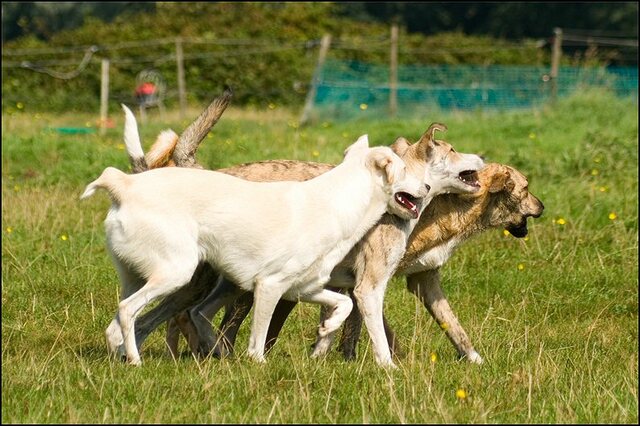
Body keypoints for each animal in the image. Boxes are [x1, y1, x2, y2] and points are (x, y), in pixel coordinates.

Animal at [82, 135, 428, 364]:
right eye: (403, 170)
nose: (426, 187)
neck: (336, 203)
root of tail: (124, 186)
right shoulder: (269, 287)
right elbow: (258, 342)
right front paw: (257, 365)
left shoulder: (305, 288)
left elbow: (342, 306)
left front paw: (327, 328)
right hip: (176, 274)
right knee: (129, 311)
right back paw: (137, 361)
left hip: (139, 278)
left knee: (117, 325)